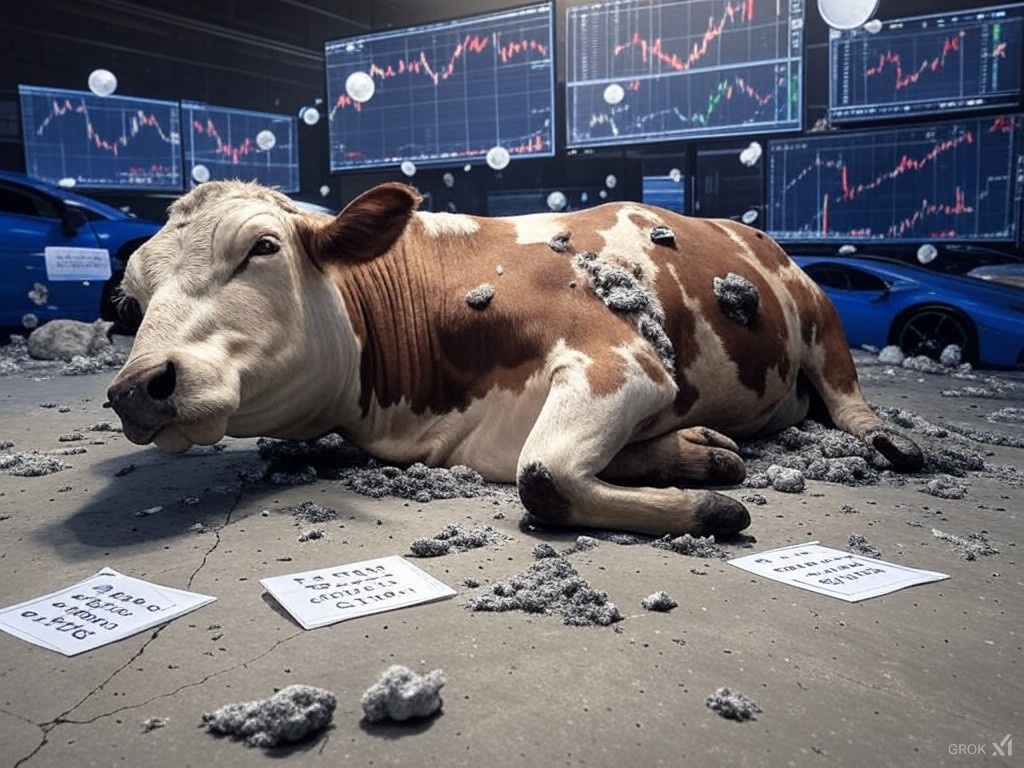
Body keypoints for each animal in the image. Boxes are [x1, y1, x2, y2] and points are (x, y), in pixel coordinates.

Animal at [106, 181, 923, 537]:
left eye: (263, 247)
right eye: (131, 298)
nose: (137, 388)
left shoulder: (621, 358)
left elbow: (544, 476)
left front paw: (710, 506)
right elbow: (560, 464)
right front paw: (694, 454)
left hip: (816, 308)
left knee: (847, 396)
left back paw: (890, 442)